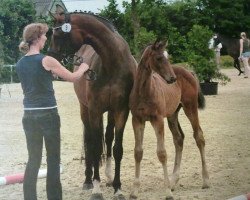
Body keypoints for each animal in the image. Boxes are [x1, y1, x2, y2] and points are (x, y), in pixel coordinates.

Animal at [47, 4, 137, 200]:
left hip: (110, 112)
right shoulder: (94, 110)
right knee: (89, 139)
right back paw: (88, 180)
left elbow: (117, 148)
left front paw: (118, 188)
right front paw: (96, 188)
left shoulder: (121, 110)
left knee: (108, 137)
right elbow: (95, 147)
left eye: (58, 36)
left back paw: (109, 177)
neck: (112, 63)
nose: (50, 61)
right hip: (85, 109)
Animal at [129, 39, 209, 199]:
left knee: (199, 136)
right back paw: (173, 182)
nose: (172, 78)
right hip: (172, 114)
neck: (144, 91)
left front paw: (167, 192)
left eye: (168, 56)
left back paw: (205, 180)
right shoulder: (137, 120)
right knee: (179, 138)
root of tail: (189, 72)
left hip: (190, 107)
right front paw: (134, 191)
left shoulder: (158, 120)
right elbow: (138, 152)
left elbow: (162, 153)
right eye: (159, 58)